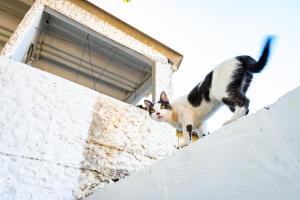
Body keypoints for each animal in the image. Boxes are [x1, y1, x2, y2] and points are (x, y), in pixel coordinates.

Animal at [144, 36, 274, 148]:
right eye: (152, 110)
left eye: (162, 106)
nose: (157, 113)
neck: (173, 114)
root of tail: (238, 57)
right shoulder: (200, 124)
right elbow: (202, 134)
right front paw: (202, 138)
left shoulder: (186, 117)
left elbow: (187, 133)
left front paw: (185, 143)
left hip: (224, 92)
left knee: (244, 101)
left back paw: (231, 120)